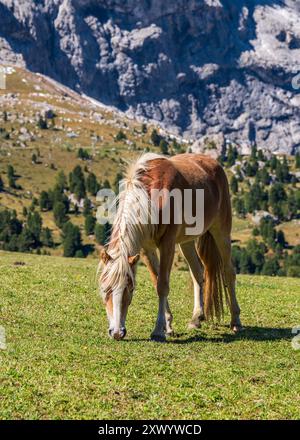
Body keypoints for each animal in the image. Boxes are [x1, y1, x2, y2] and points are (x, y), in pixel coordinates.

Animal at [99, 153, 243, 342]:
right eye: (105, 289)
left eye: (129, 288)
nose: (116, 332)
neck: (152, 195)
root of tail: (213, 163)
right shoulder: (146, 249)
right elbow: (156, 281)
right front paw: (167, 326)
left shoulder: (167, 244)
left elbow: (162, 285)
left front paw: (158, 330)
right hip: (186, 242)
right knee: (198, 273)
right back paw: (196, 318)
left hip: (221, 232)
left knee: (228, 272)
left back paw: (236, 322)